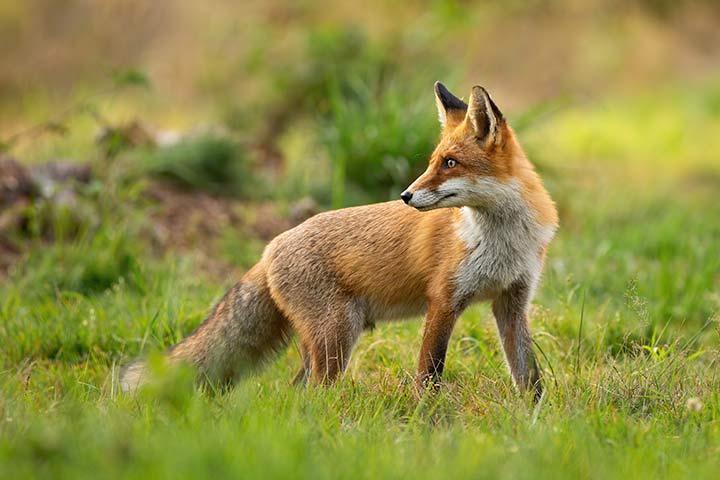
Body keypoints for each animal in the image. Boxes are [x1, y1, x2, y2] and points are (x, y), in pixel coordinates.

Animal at [120, 82, 558, 399]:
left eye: (450, 163)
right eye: (433, 161)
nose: (405, 195)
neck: (502, 241)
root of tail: (269, 247)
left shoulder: (512, 303)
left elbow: (529, 376)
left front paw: (535, 420)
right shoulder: (443, 300)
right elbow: (429, 375)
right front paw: (427, 421)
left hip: (331, 340)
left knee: (294, 391)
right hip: (336, 338)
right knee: (309, 394)